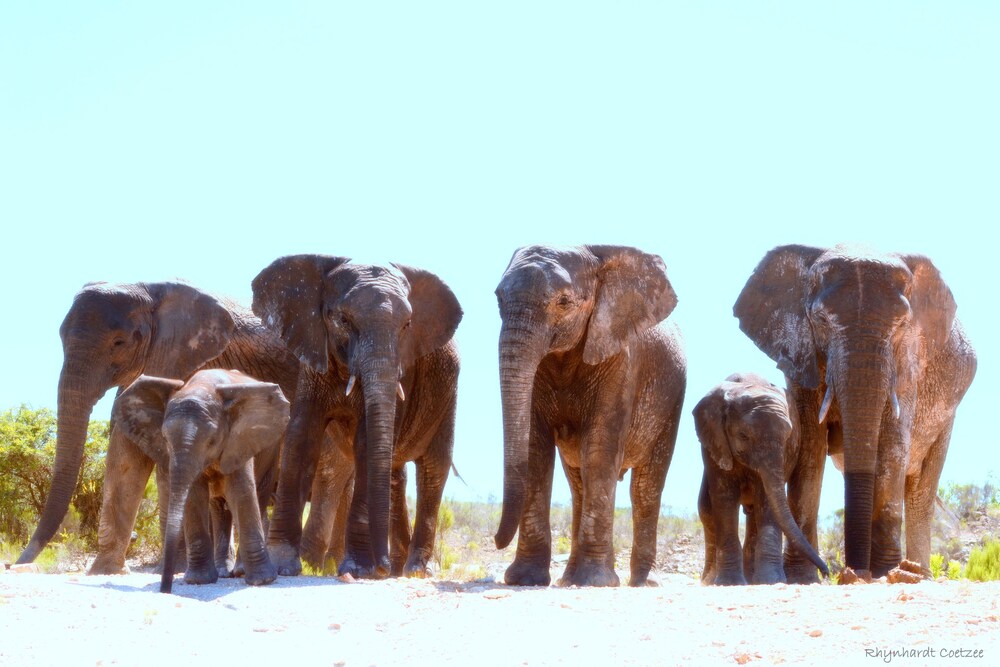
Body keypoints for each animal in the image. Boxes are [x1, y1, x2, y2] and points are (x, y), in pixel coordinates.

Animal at [114, 369, 289, 593]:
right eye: (165, 438)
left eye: (212, 441)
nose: (165, 590)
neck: (203, 385)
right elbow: (194, 495)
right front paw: (199, 580)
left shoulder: (240, 439)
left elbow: (242, 492)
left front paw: (263, 581)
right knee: (220, 508)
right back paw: (223, 573)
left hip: (271, 450)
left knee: (258, 494)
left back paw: (240, 572)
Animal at [251, 254, 463, 579]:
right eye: (343, 320)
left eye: (407, 325)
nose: (379, 568)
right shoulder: (313, 353)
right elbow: (301, 437)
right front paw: (282, 566)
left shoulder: (405, 369)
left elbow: (366, 443)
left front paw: (358, 569)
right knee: (394, 474)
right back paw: (397, 569)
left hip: (447, 392)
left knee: (433, 468)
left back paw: (413, 570)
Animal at [493, 244, 687, 587]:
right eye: (498, 298)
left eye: (564, 302)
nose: (495, 541)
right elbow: (535, 449)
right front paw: (525, 579)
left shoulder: (622, 359)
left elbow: (600, 450)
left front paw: (595, 582)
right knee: (578, 484)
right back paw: (568, 579)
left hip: (672, 398)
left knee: (645, 488)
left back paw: (643, 582)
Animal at [694, 372, 829, 585]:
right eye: (743, 436)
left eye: (788, 437)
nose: (827, 573)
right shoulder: (714, 442)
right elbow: (724, 498)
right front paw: (730, 583)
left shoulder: (785, 453)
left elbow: (766, 500)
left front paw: (771, 581)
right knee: (706, 508)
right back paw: (711, 581)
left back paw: (752, 579)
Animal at [734, 244, 977, 581]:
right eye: (821, 320)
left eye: (902, 325)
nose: (850, 572)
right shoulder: (801, 353)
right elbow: (810, 446)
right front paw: (802, 577)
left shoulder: (910, 360)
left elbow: (893, 444)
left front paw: (887, 571)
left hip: (947, 415)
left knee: (920, 492)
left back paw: (917, 574)